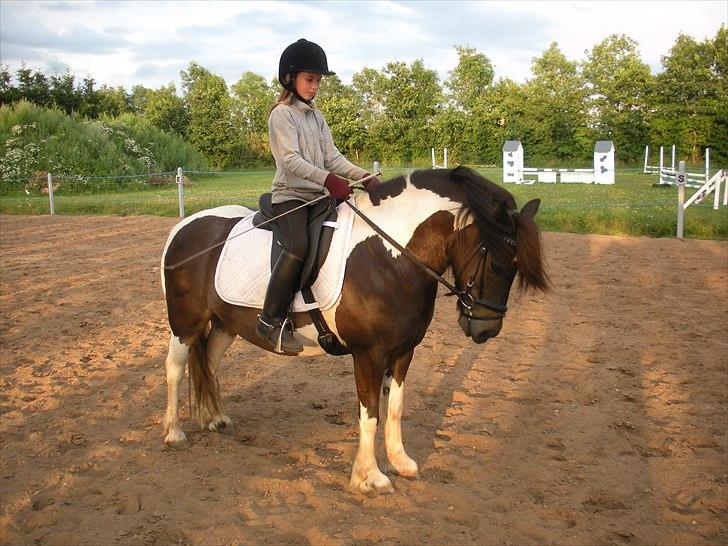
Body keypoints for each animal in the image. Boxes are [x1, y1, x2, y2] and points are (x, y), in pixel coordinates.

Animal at [159, 165, 544, 492]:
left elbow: (394, 407)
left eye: (514, 267)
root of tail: (183, 226)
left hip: (226, 324)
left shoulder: (403, 352)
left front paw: (401, 462)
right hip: (185, 324)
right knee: (176, 369)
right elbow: (369, 413)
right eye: (496, 264)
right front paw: (369, 477)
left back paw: (214, 419)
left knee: (208, 362)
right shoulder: (368, 355)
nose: (486, 329)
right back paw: (174, 433)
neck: (391, 256)